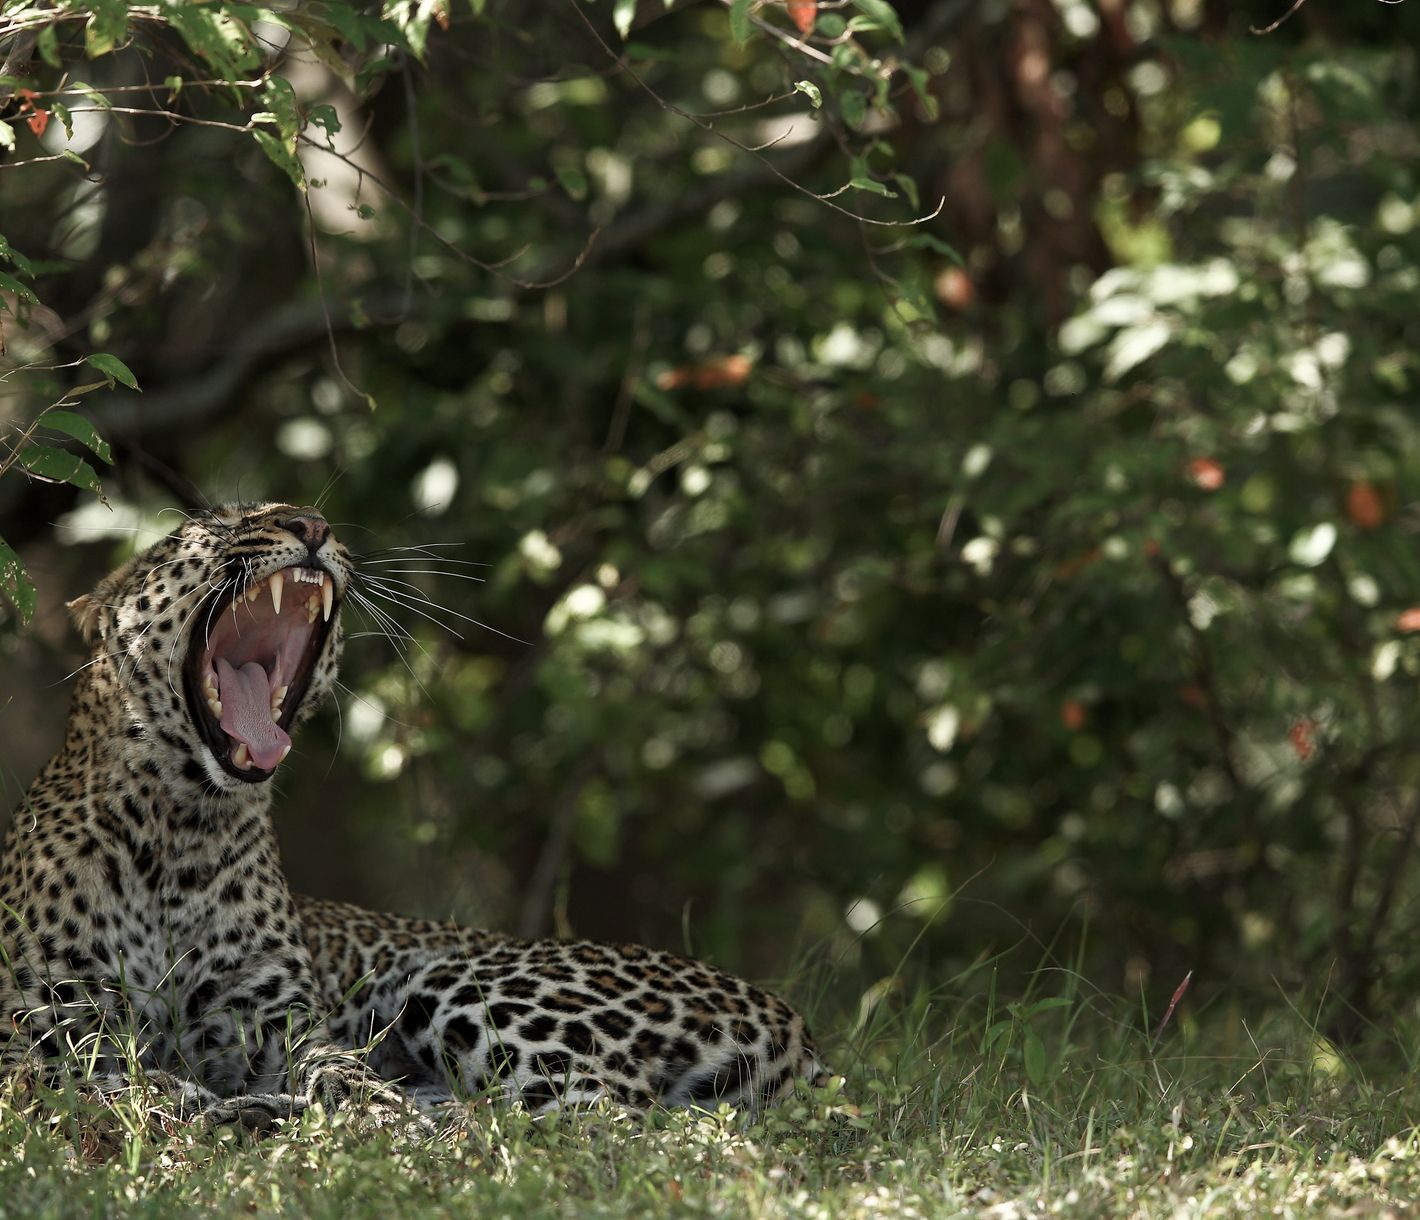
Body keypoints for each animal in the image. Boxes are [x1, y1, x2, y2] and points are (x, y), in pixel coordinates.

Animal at [0, 500, 823, 1125]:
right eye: (211, 526)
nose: (311, 523)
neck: (180, 831)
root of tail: (794, 1022)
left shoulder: (276, 1019)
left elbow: (334, 1063)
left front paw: (360, 1101)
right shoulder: (33, 1021)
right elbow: (75, 1069)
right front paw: (170, 1092)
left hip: (456, 980)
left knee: (604, 1115)